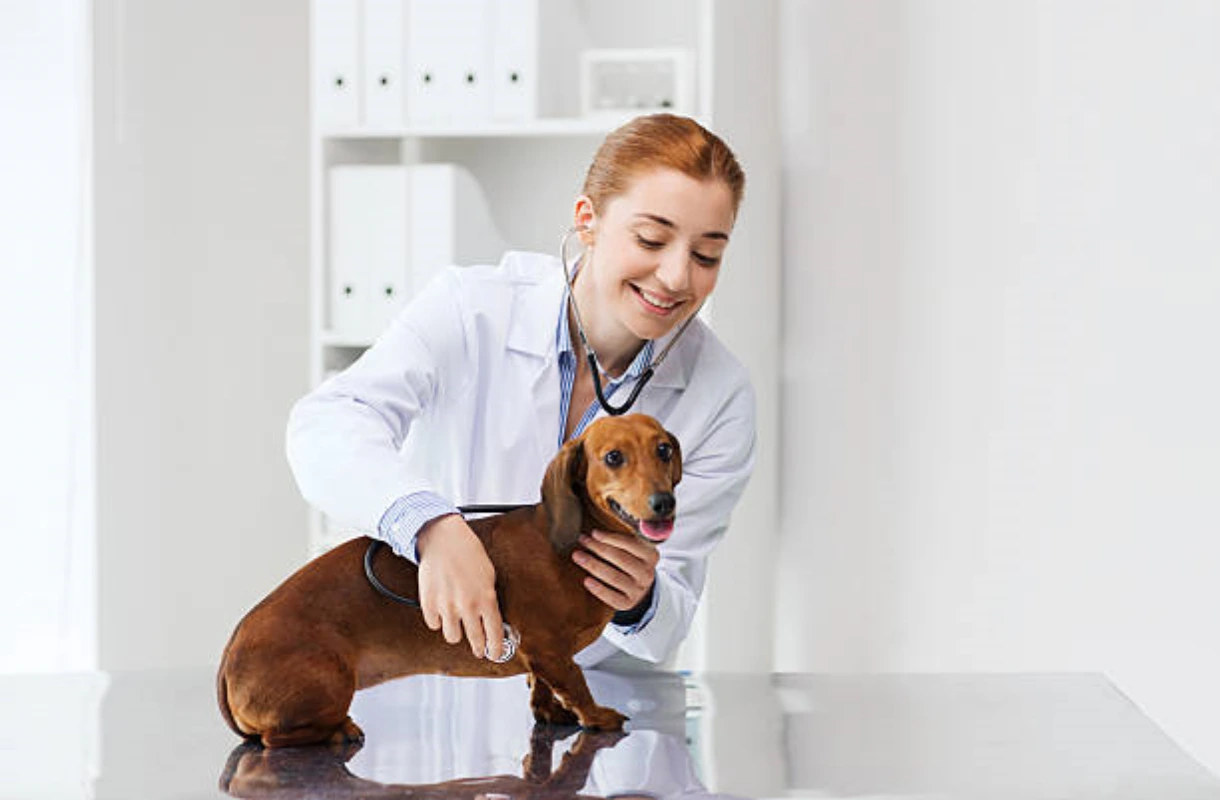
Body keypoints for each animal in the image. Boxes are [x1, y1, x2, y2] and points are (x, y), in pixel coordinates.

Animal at [215, 414, 683, 746]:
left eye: (663, 449)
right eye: (613, 457)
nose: (664, 502)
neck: (566, 544)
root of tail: (229, 656)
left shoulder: (541, 656)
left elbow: (544, 686)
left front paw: (550, 710)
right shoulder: (548, 647)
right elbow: (576, 682)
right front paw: (597, 716)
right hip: (329, 681)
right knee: (274, 738)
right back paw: (340, 730)